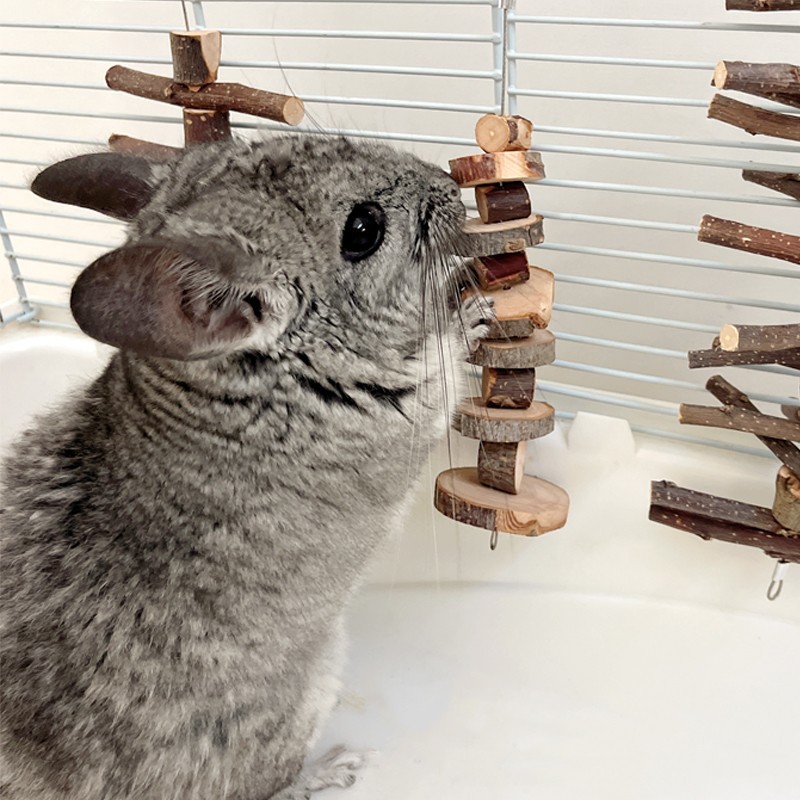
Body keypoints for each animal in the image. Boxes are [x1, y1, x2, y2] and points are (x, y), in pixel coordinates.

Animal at [0, 135, 488, 800]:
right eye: (363, 229)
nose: (450, 181)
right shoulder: (410, 405)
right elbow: (448, 358)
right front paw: (476, 308)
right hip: (304, 697)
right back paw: (335, 768)